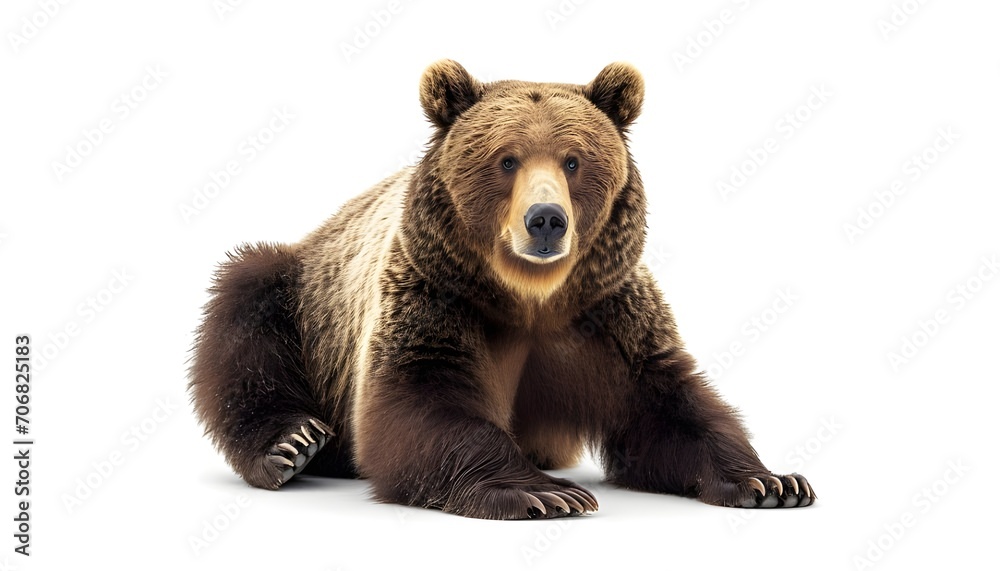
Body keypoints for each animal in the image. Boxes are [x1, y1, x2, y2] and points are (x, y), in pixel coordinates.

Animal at [188, 60, 815, 519]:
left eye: (573, 161)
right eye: (506, 160)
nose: (546, 220)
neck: (532, 296)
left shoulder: (607, 313)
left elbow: (668, 404)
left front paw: (772, 481)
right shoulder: (435, 296)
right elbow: (419, 401)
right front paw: (546, 492)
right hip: (304, 298)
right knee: (244, 315)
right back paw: (291, 444)